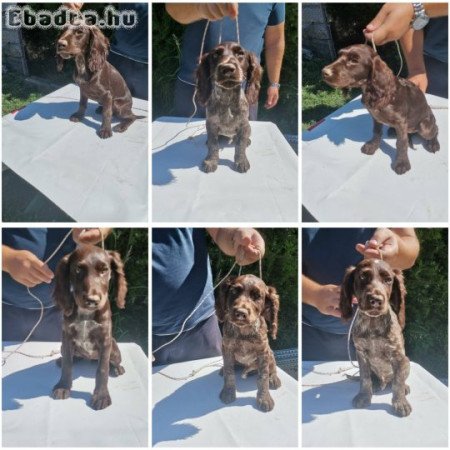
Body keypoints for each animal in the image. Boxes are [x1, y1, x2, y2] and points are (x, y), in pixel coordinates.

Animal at [51, 244, 127, 410]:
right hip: (62, 346)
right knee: (70, 357)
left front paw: (101, 396)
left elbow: (102, 369)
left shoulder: (105, 340)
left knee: (113, 362)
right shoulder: (67, 337)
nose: (92, 300)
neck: (86, 313)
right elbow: (67, 364)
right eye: (78, 270)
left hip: (114, 350)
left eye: (104, 270)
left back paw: (118, 369)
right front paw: (63, 386)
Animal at [215, 274, 282, 412]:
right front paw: (228, 393)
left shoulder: (263, 351)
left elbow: (263, 377)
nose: (240, 313)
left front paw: (264, 398)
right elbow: (229, 373)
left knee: (272, 367)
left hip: (270, 354)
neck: (244, 331)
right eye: (234, 292)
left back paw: (274, 378)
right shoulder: (227, 348)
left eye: (257, 297)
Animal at [324, 44, 440, 174]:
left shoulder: (400, 122)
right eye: (339, 56)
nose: (324, 72)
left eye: (354, 60)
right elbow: (376, 132)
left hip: (424, 127)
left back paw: (433, 144)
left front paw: (402, 163)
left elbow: (401, 143)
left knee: (435, 129)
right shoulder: (375, 117)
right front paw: (372, 146)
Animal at [342, 258, 412, 416]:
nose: (376, 300)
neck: (373, 323)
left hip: (407, 362)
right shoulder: (361, 354)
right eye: (362, 277)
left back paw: (404, 387)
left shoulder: (398, 356)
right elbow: (365, 378)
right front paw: (364, 396)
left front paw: (400, 402)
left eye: (388, 280)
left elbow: (398, 382)